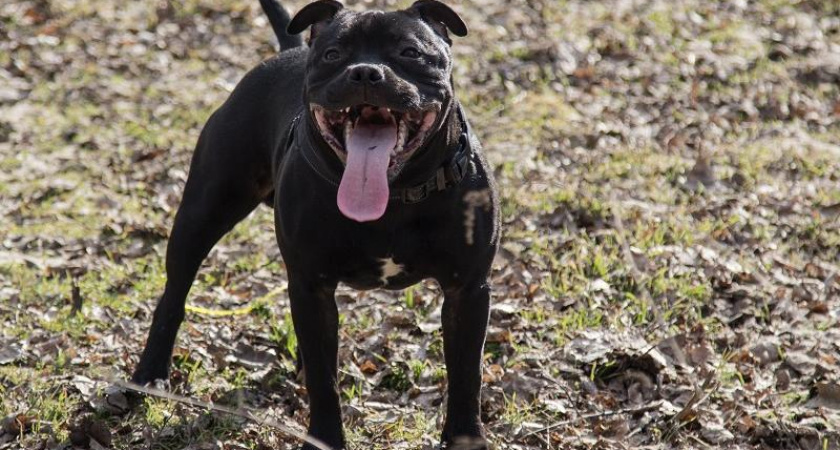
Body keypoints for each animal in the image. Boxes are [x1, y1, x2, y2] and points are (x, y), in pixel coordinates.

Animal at [132, 1, 498, 448]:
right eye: (333, 55)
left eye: (410, 53)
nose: (365, 72)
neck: (393, 195)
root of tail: (290, 49)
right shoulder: (312, 285)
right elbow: (325, 381)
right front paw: (325, 437)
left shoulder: (468, 290)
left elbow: (466, 374)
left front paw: (466, 436)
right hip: (202, 214)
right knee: (174, 294)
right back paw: (150, 374)